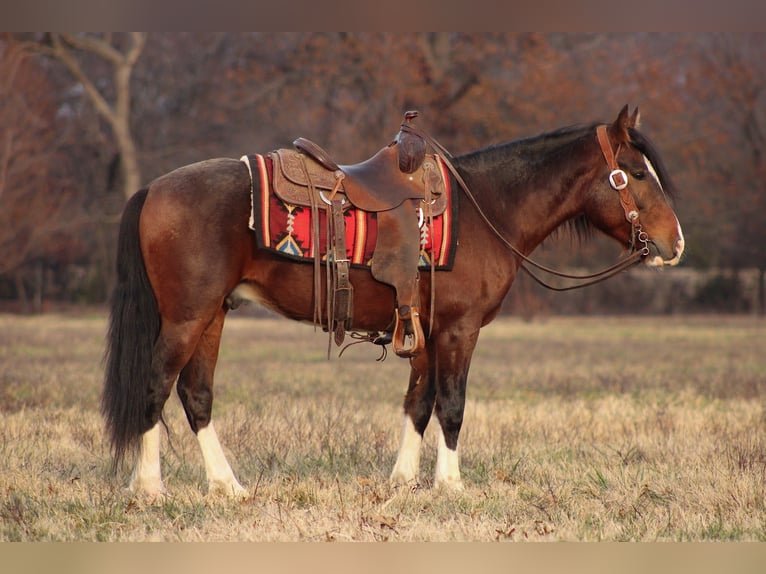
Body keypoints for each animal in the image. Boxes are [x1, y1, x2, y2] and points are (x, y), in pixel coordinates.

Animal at [103, 105, 684, 497]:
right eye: (635, 173)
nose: (675, 243)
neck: (487, 209)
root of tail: (154, 188)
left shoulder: (424, 331)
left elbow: (418, 404)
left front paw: (404, 479)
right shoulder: (458, 329)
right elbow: (451, 404)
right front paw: (450, 485)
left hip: (213, 316)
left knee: (196, 395)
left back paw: (228, 487)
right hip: (187, 317)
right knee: (155, 387)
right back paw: (149, 486)